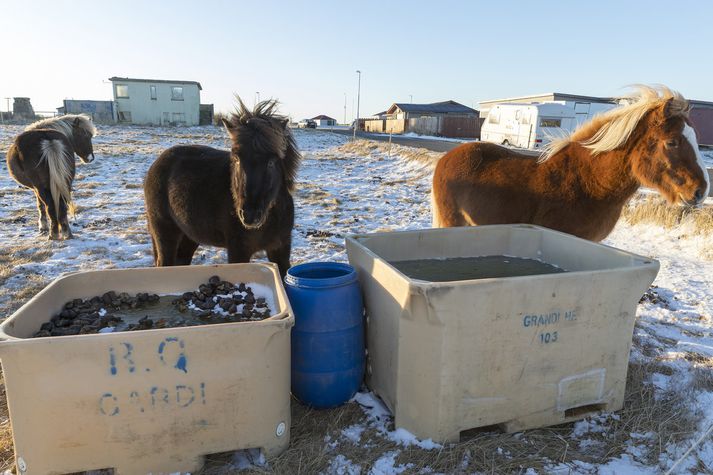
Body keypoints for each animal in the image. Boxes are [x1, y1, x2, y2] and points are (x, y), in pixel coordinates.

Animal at [145, 100, 300, 278]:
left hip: (189, 235)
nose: (249, 215)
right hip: (165, 232)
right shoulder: (238, 250)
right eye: (237, 158)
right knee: (165, 263)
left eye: (271, 162)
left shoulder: (280, 249)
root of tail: (156, 164)